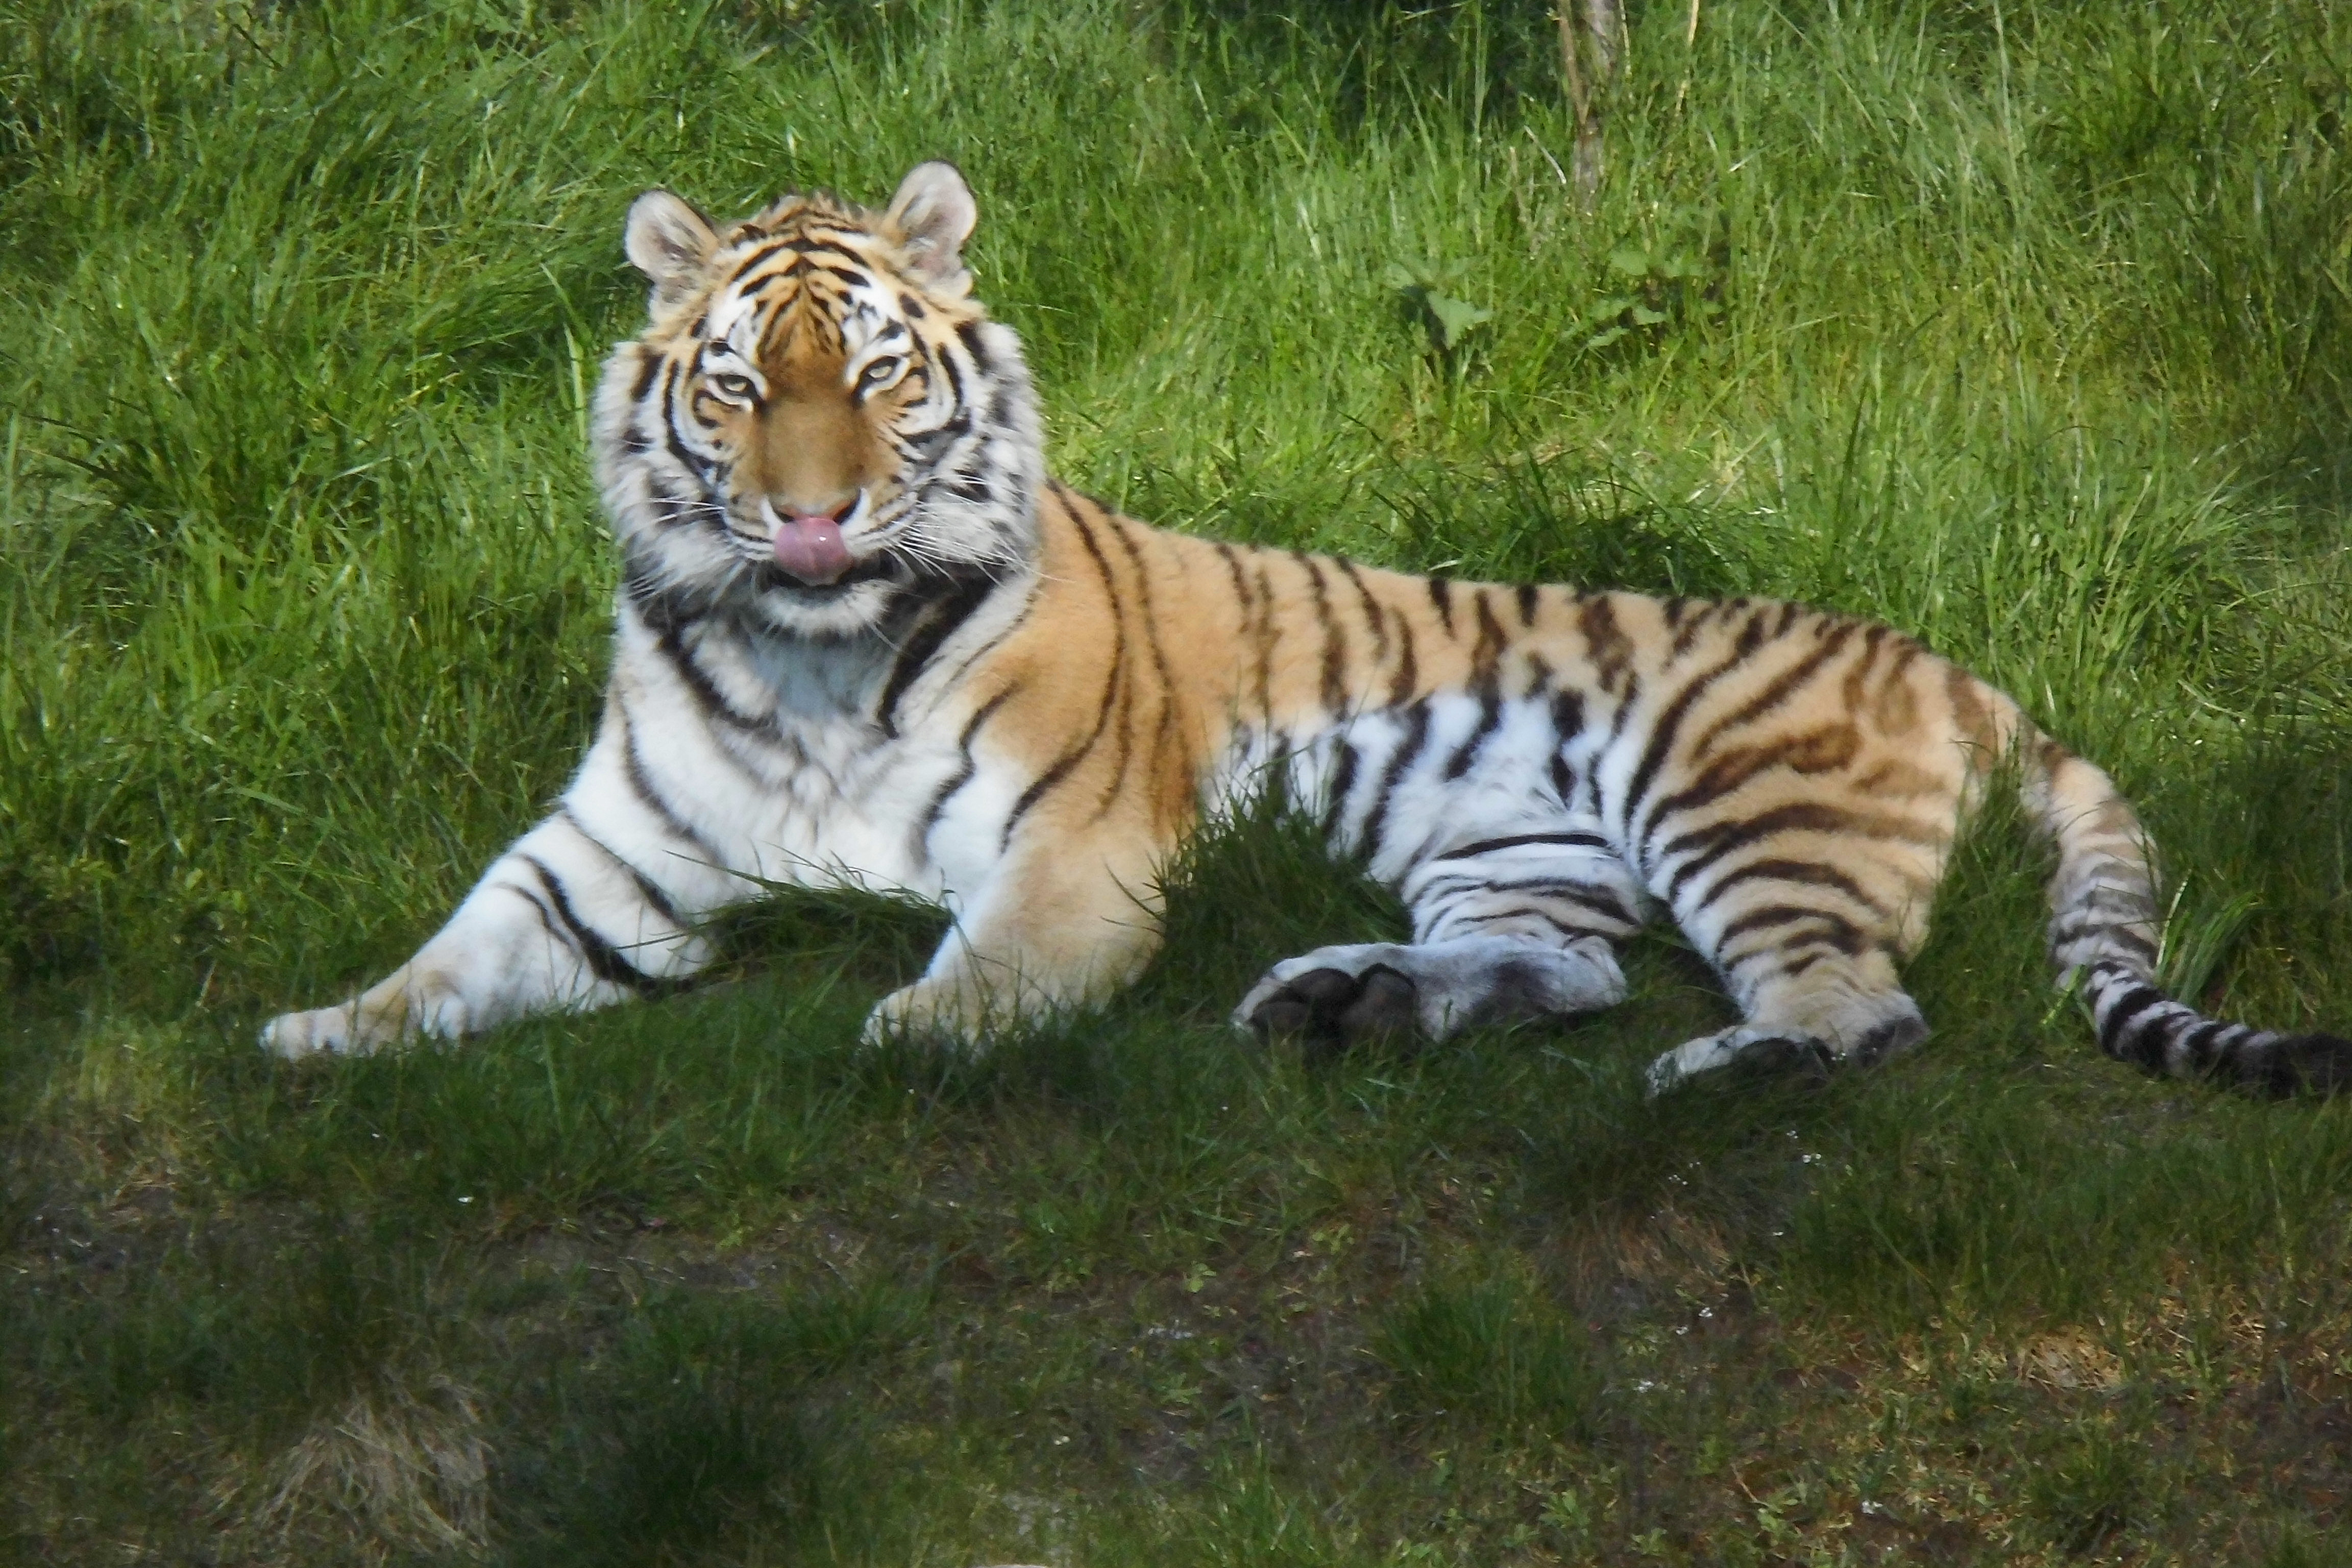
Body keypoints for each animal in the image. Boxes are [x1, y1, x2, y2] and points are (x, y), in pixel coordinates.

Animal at [257, 160, 2352, 1100]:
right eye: (736, 388)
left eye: (872, 375)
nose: (813, 515)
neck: (810, 648)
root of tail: (1960, 667)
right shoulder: (606, 854)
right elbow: (457, 955)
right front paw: (310, 1032)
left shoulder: (1071, 854)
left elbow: (971, 979)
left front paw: (902, 1029)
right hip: (1516, 843)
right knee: (1566, 973)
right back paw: (1348, 1000)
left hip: (1740, 808)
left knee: (1858, 1009)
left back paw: (1715, 1074)